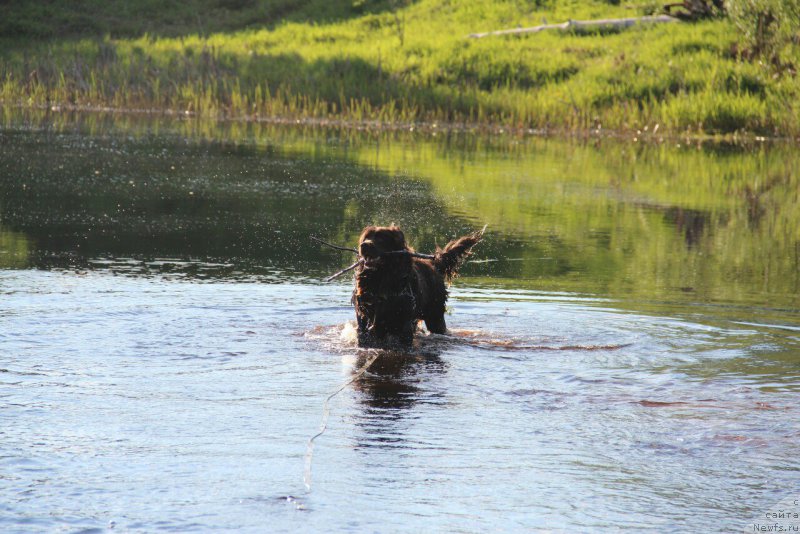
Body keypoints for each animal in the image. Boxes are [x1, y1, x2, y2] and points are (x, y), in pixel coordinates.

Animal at [354, 227, 482, 350]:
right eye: (366, 237)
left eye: (381, 238)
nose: (364, 245)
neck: (381, 280)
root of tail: (434, 264)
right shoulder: (364, 320)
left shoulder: (404, 322)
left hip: (435, 315)